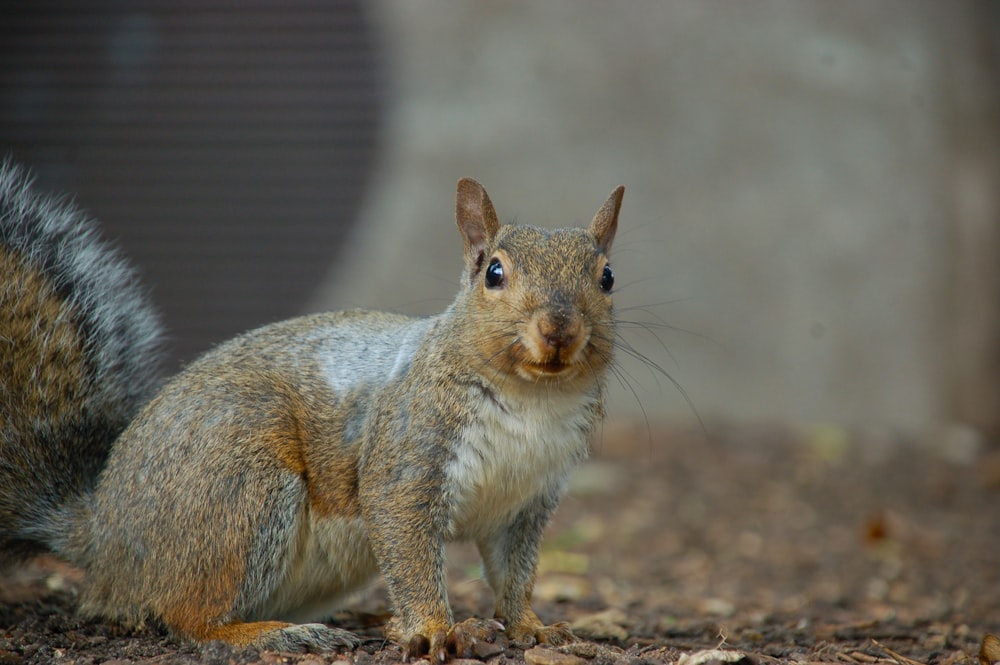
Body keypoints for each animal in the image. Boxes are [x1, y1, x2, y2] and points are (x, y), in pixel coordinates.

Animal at [0, 160, 624, 660]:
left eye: (607, 277)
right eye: (494, 273)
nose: (558, 329)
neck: (531, 401)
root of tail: (104, 536)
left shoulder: (526, 501)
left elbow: (515, 573)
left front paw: (530, 626)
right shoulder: (407, 456)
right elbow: (408, 547)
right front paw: (433, 629)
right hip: (237, 492)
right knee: (188, 615)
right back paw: (270, 635)